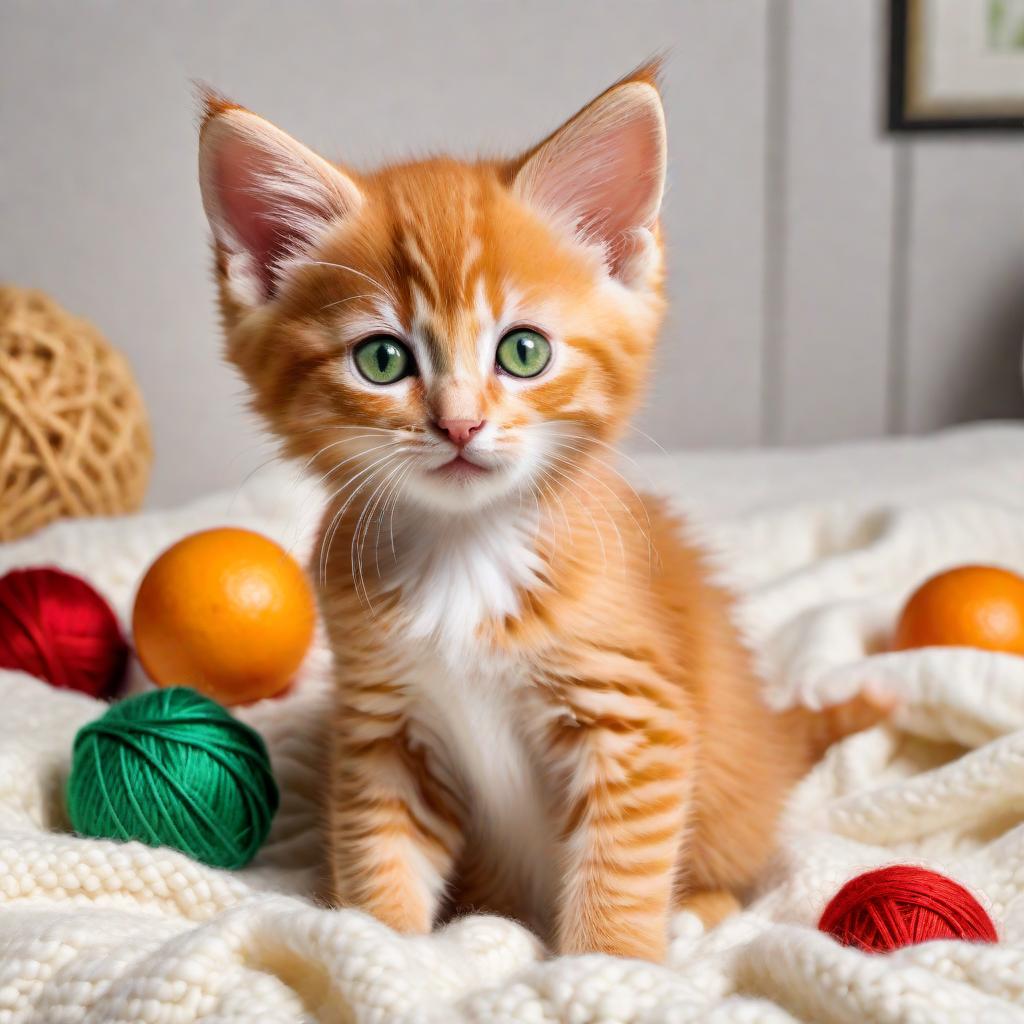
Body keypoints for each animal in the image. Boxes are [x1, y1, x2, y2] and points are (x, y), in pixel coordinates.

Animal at [197, 64, 880, 958]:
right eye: (381, 360)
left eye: (523, 351)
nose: (459, 424)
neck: (465, 550)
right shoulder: (382, 730)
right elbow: (381, 850)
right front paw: (377, 946)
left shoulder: (637, 718)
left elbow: (620, 868)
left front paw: (604, 965)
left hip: (733, 797)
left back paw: (692, 911)